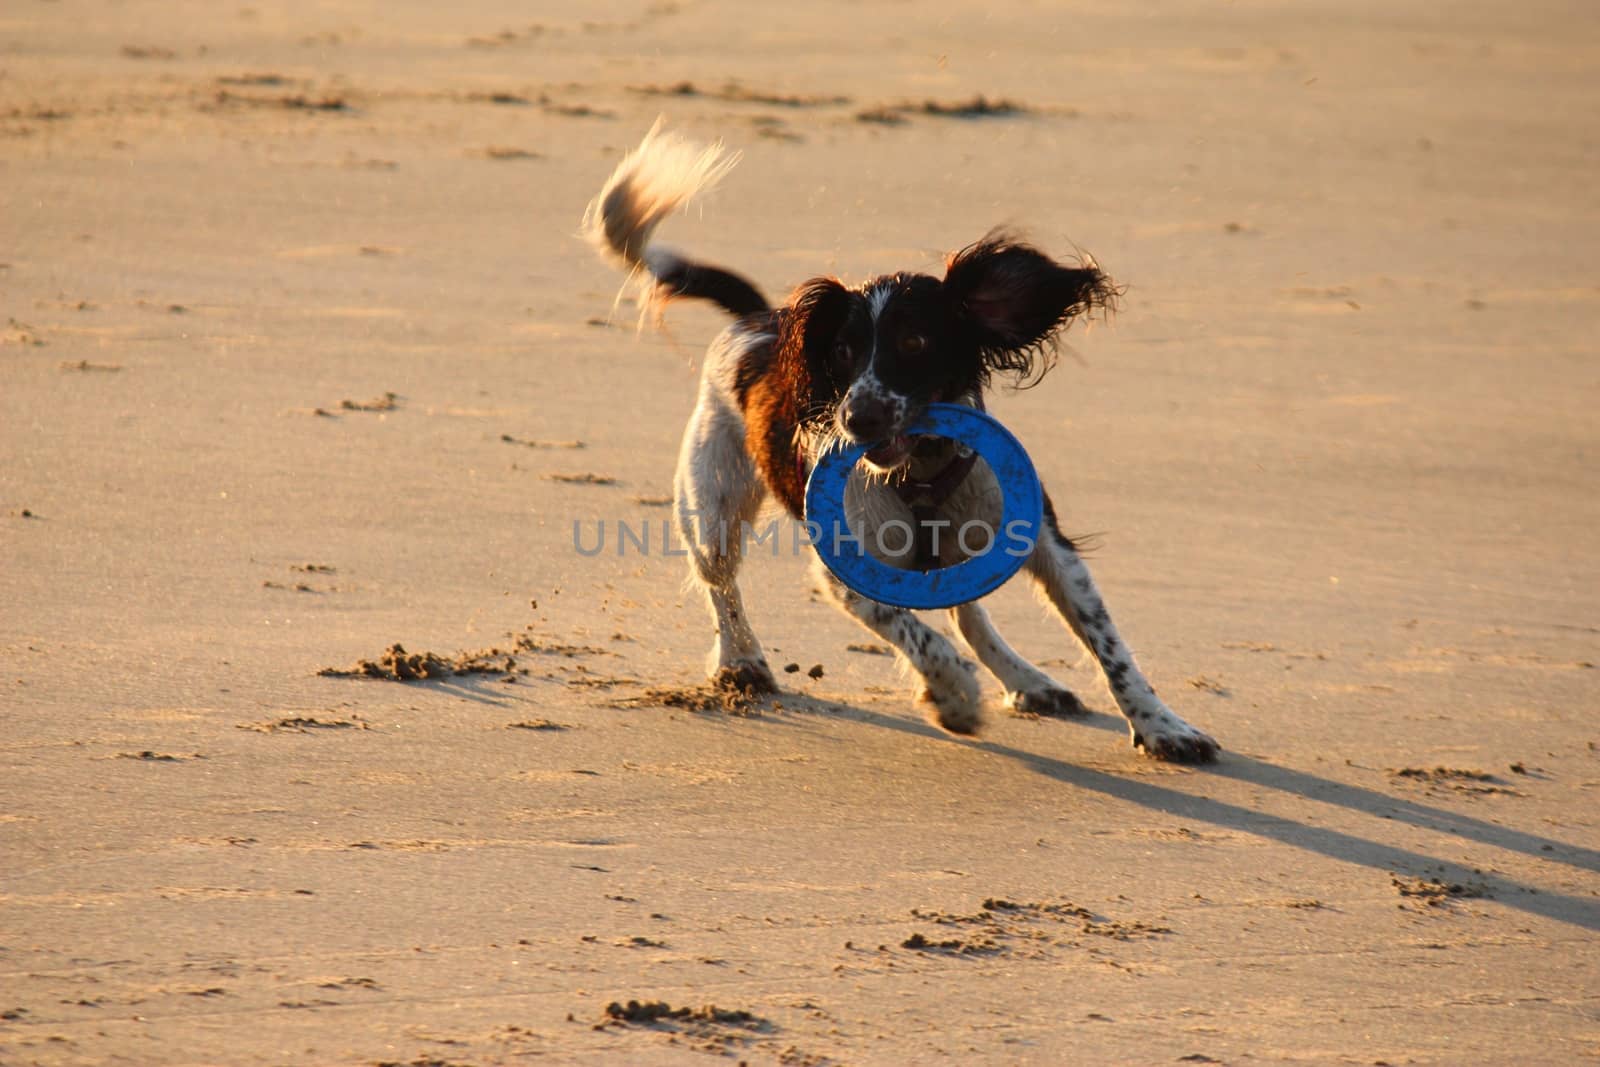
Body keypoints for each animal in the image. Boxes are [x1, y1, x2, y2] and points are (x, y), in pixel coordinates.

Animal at [582, 120, 1216, 764]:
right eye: (841, 351)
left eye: (914, 342)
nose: (857, 419)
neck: (923, 475)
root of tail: (759, 318)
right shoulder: (846, 574)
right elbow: (919, 634)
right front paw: (955, 694)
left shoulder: (1047, 545)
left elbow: (1109, 648)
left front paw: (1163, 726)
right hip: (710, 502)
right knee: (721, 584)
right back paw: (742, 664)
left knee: (968, 616)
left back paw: (1027, 680)